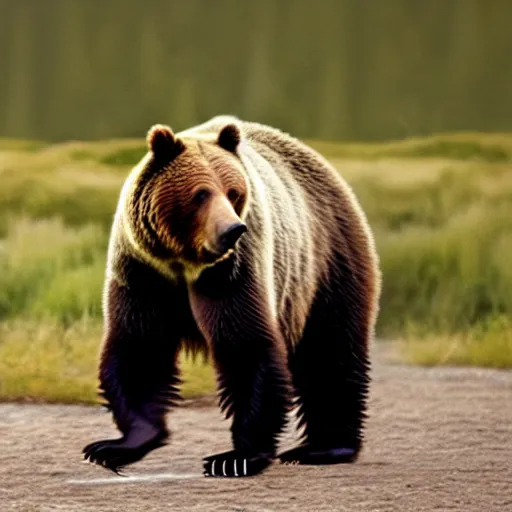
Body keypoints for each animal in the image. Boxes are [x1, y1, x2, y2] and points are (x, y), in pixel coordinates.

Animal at [82, 115, 380, 476]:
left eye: (233, 191)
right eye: (200, 193)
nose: (233, 229)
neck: (185, 262)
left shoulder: (234, 271)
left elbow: (245, 342)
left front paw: (235, 457)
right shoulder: (144, 271)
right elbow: (141, 347)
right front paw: (114, 446)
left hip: (326, 260)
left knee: (330, 347)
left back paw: (325, 447)